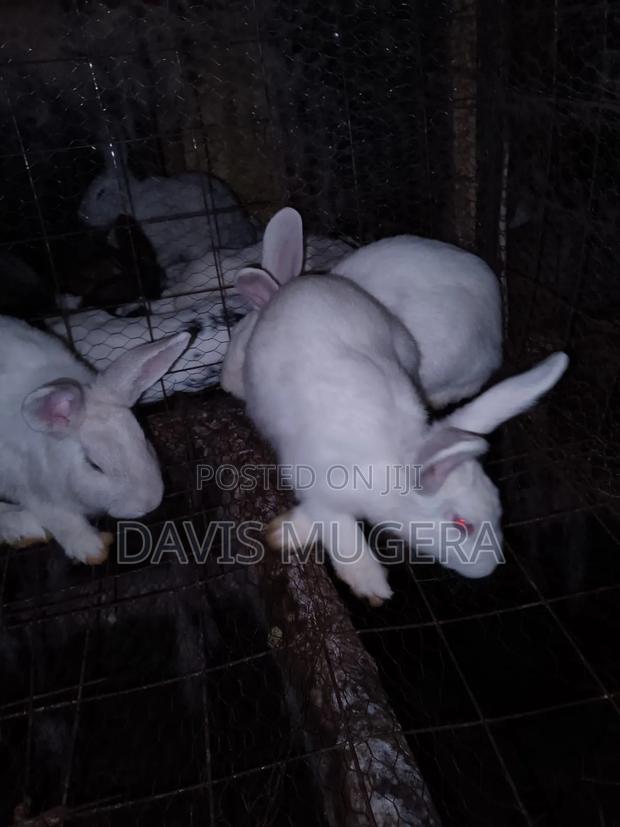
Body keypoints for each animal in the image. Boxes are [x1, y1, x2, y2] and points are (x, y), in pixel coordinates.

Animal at [0, 314, 190, 563]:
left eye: (142, 437)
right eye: (94, 466)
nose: (150, 503)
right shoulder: (26, 484)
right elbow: (59, 517)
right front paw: (92, 549)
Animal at [243, 230, 569, 605]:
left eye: (498, 505)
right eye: (461, 525)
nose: (489, 569)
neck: (397, 464)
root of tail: (298, 286)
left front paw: (284, 533)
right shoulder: (313, 478)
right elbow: (338, 526)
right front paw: (369, 583)